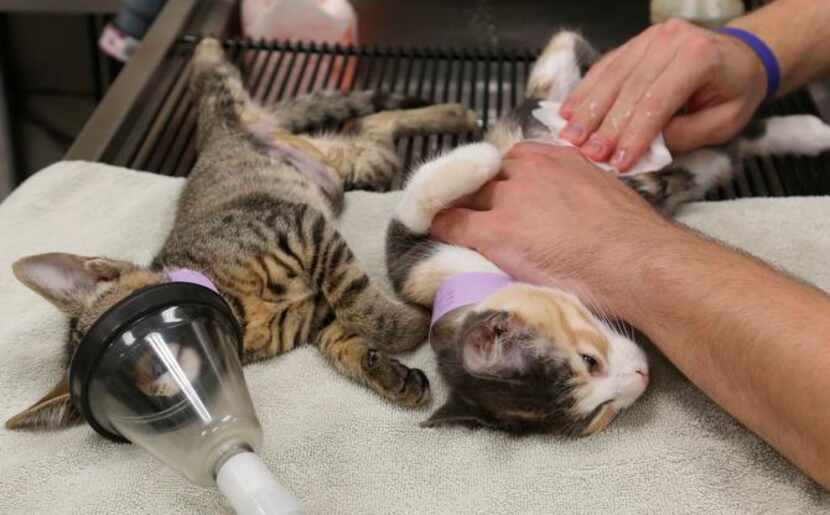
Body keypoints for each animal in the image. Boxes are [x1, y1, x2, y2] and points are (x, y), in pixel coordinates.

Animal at [4, 37, 480, 432]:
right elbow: (346, 338)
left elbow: (362, 306)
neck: (240, 311)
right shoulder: (317, 316)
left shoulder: (300, 225)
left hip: (229, 107)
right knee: (375, 125)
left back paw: (207, 47)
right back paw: (453, 113)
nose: (161, 385)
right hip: (365, 164)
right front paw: (388, 372)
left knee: (215, 83)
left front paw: (409, 325)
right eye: (129, 400)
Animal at [386, 30, 830, 438]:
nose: (641, 379)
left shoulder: (414, 259)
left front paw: (482, 157)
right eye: (599, 415)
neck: (473, 273)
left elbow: (412, 211)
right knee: (724, 146)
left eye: (589, 361)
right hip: (699, 160)